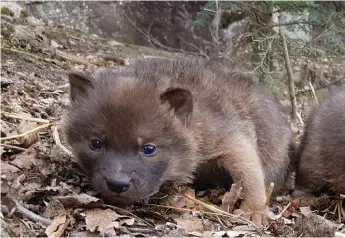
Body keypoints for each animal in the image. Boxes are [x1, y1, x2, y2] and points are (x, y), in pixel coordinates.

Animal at [63, 57, 292, 225]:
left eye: (149, 149)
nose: (117, 184)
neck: (194, 119)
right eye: (95, 143)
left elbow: (250, 175)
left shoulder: (235, 140)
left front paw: (254, 211)